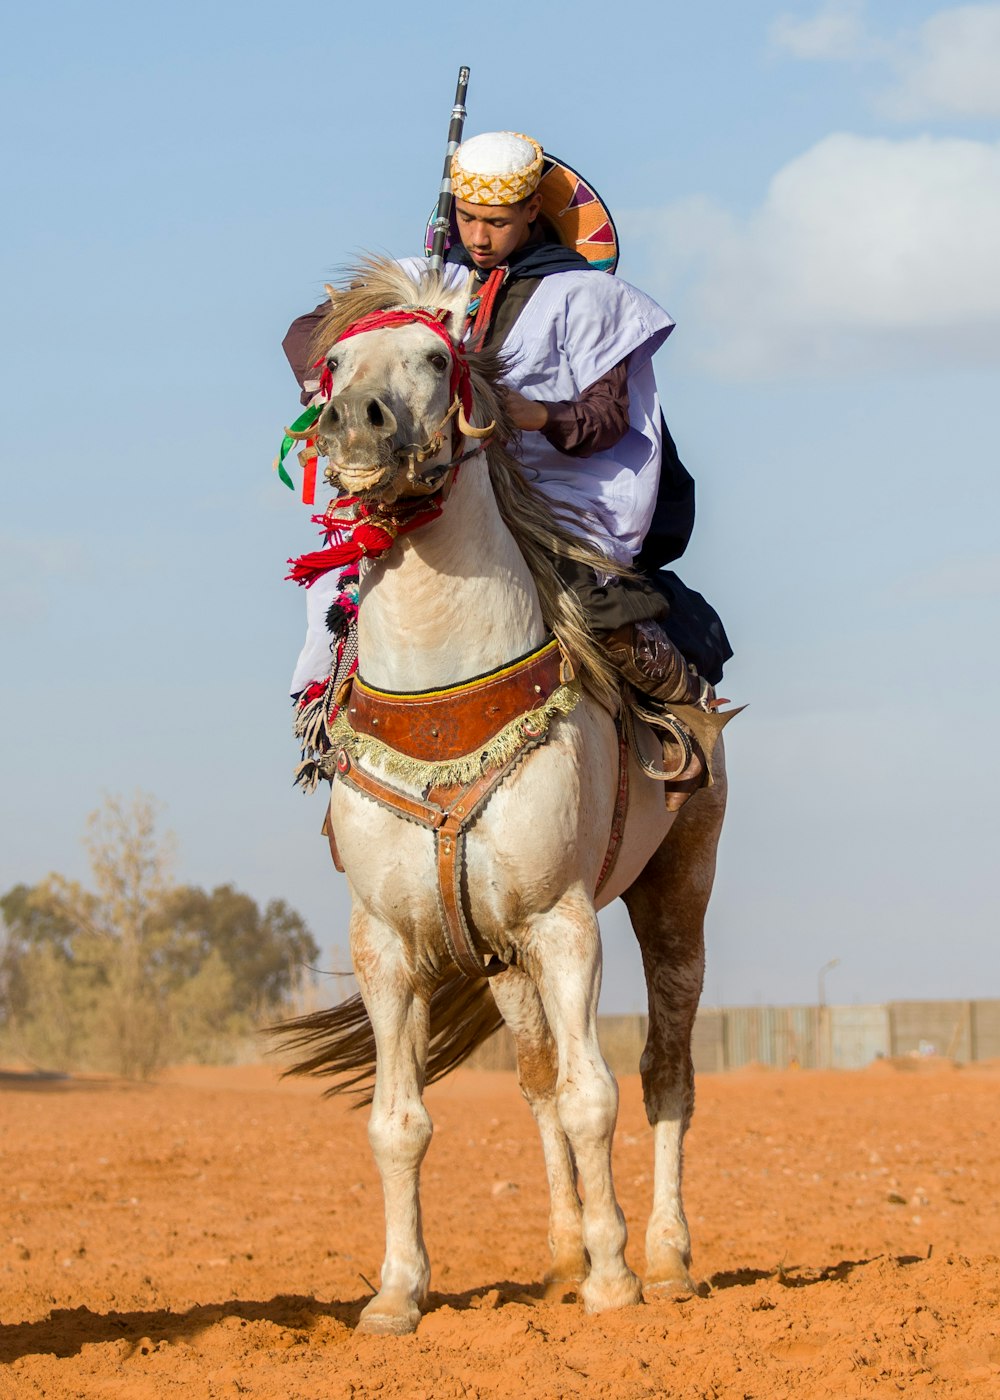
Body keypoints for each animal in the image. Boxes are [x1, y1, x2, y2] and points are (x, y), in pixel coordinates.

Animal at [275, 257, 728, 1338]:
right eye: (335, 364)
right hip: (500, 957)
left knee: (665, 1073)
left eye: (436, 357)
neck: (440, 708)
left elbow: (596, 1095)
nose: (357, 423)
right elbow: (400, 1122)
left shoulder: (566, 923)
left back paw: (664, 1257)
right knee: (533, 1080)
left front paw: (613, 1280)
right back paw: (563, 1255)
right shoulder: (388, 943)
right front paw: (397, 1292)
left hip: (676, 892)